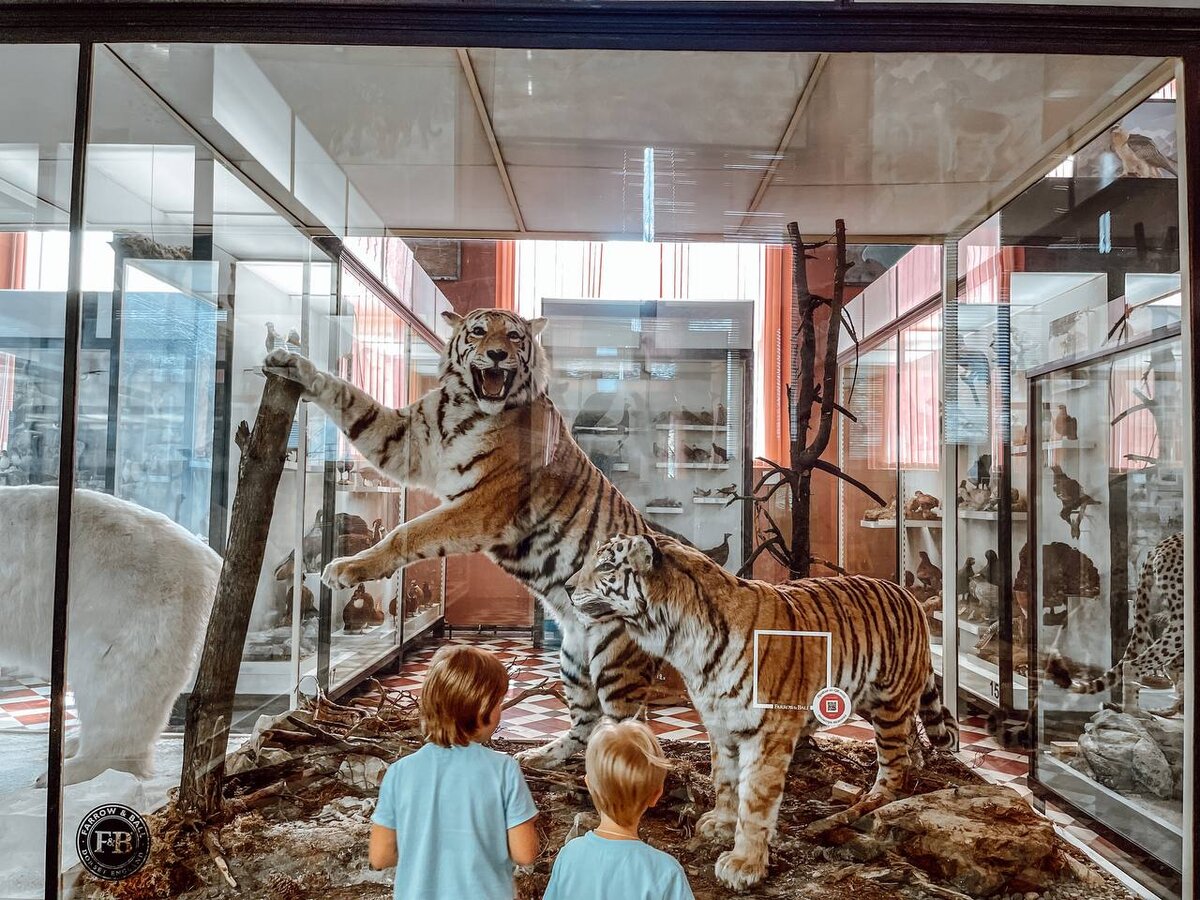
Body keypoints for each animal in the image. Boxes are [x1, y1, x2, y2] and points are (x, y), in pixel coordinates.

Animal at [266, 309, 672, 768]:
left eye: (514, 336)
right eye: (479, 332)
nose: (496, 354)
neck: (462, 411)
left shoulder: (481, 505)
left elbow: (409, 531)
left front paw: (346, 568)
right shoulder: (405, 439)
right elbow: (352, 400)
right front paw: (293, 364)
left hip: (614, 662)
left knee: (631, 728)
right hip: (573, 657)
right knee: (586, 725)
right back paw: (542, 756)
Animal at [568, 532, 955, 892]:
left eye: (606, 565)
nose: (569, 587)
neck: (681, 641)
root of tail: (909, 595)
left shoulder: (768, 732)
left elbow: (755, 800)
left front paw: (744, 864)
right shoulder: (719, 724)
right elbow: (724, 780)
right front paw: (720, 824)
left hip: (890, 703)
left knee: (893, 768)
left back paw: (858, 806)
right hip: (874, 701)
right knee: (909, 739)